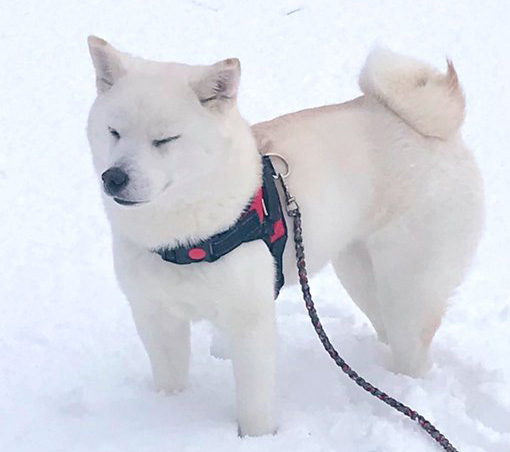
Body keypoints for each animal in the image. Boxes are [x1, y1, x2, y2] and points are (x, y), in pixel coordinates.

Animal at [86, 37, 482, 436]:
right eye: (114, 131)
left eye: (165, 139)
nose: (114, 177)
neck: (182, 240)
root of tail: (437, 129)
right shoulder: (155, 317)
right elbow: (170, 380)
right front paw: (169, 412)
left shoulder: (249, 321)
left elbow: (255, 402)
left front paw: (256, 438)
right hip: (360, 274)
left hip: (409, 286)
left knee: (413, 347)